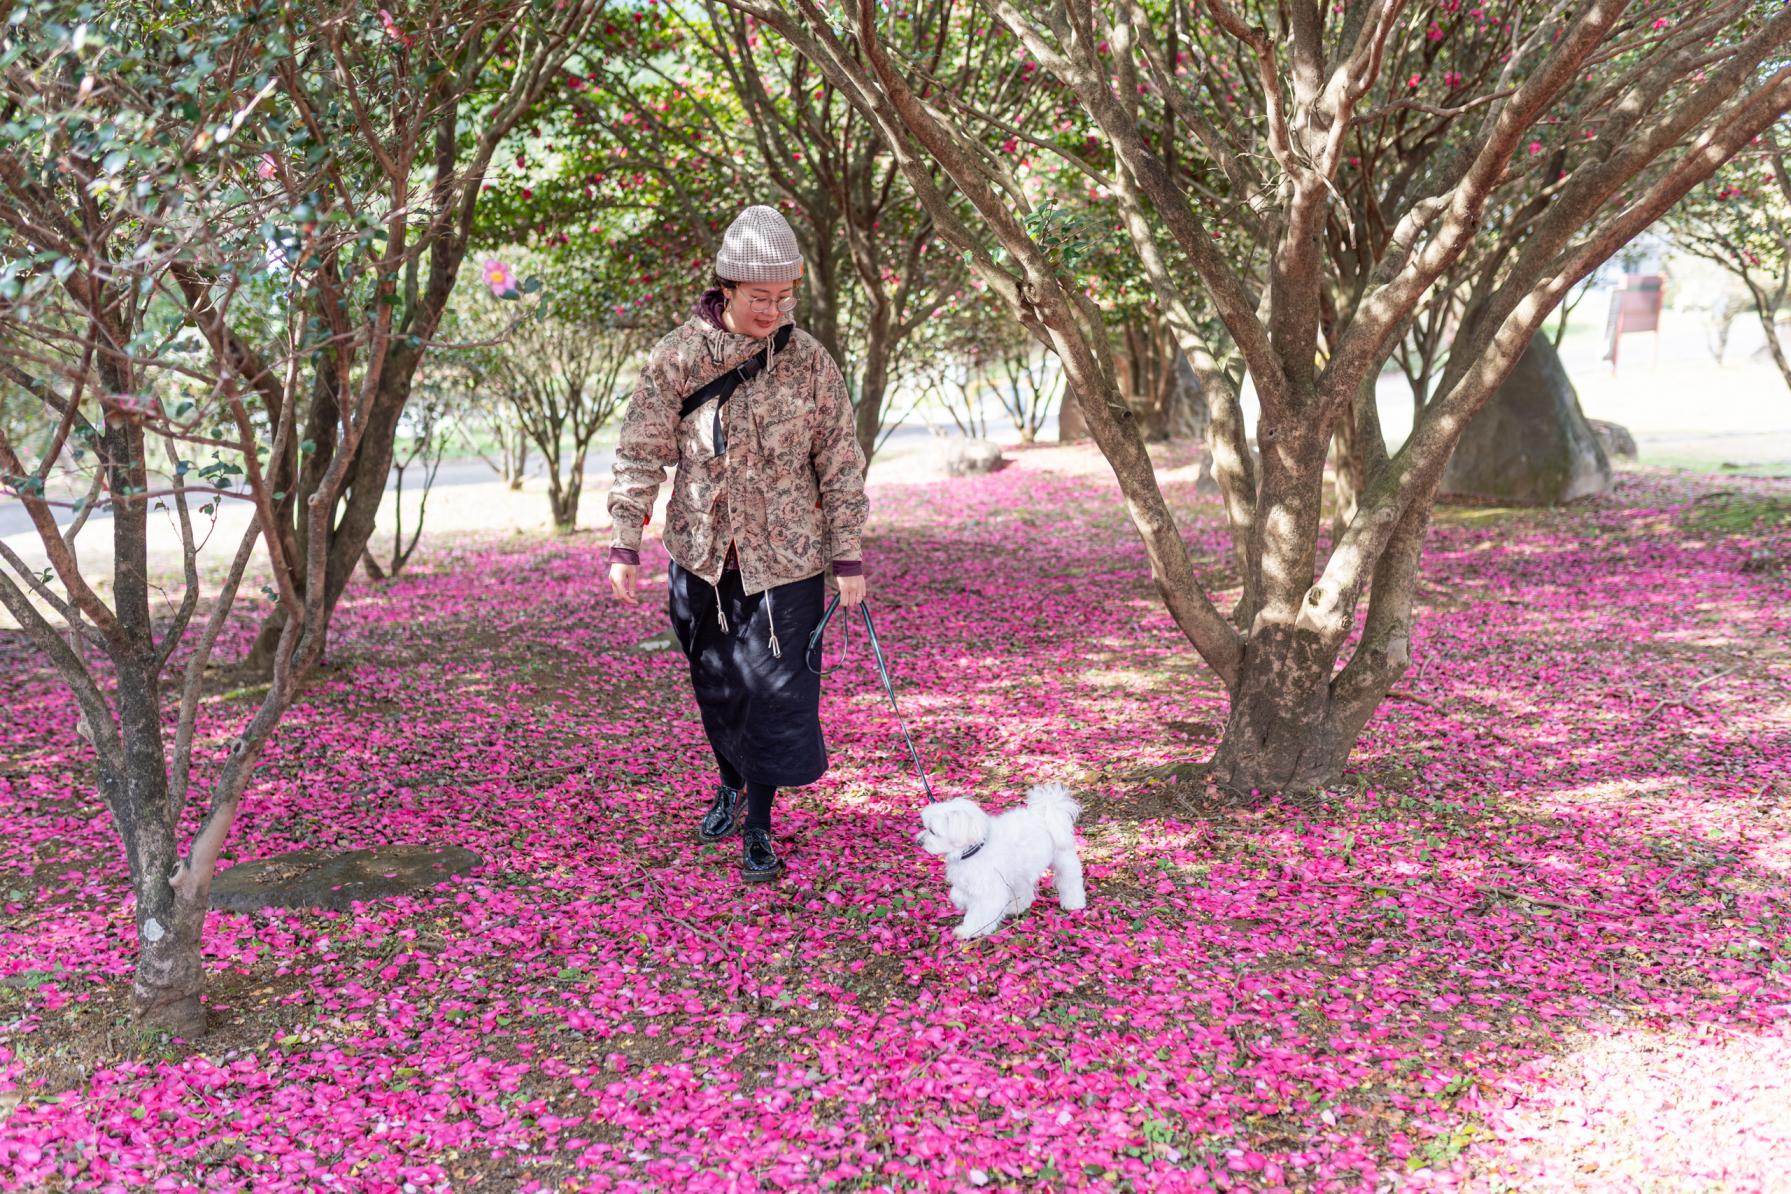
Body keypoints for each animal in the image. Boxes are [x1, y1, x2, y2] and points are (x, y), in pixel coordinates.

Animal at [916, 784, 1081, 945]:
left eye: (933, 831)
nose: (919, 842)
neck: (975, 849)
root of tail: (1045, 812)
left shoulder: (989, 890)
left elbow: (980, 913)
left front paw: (968, 930)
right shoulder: (967, 879)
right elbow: (957, 894)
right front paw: (962, 903)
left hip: (1063, 859)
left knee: (1070, 880)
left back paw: (1073, 903)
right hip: (1020, 870)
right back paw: (1017, 906)